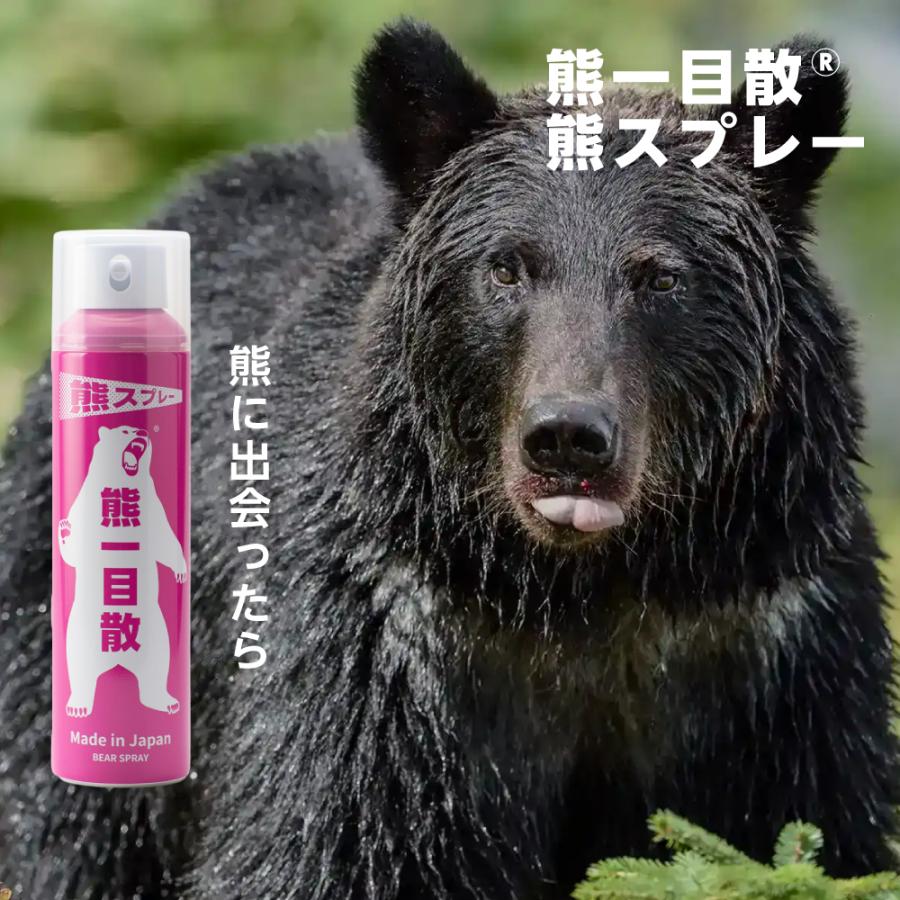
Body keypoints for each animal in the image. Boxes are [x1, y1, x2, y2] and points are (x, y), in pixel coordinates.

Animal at [58, 425, 186, 718]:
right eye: (125, 430)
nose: (141, 432)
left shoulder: (155, 504)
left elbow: (166, 540)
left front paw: (181, 572)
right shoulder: (85, 501)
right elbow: (74, 552)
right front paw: (65, 529)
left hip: (158, 637)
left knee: (158, 670)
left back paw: (166, 702)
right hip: (79, 638)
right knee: (78, 671)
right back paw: (78, 706)